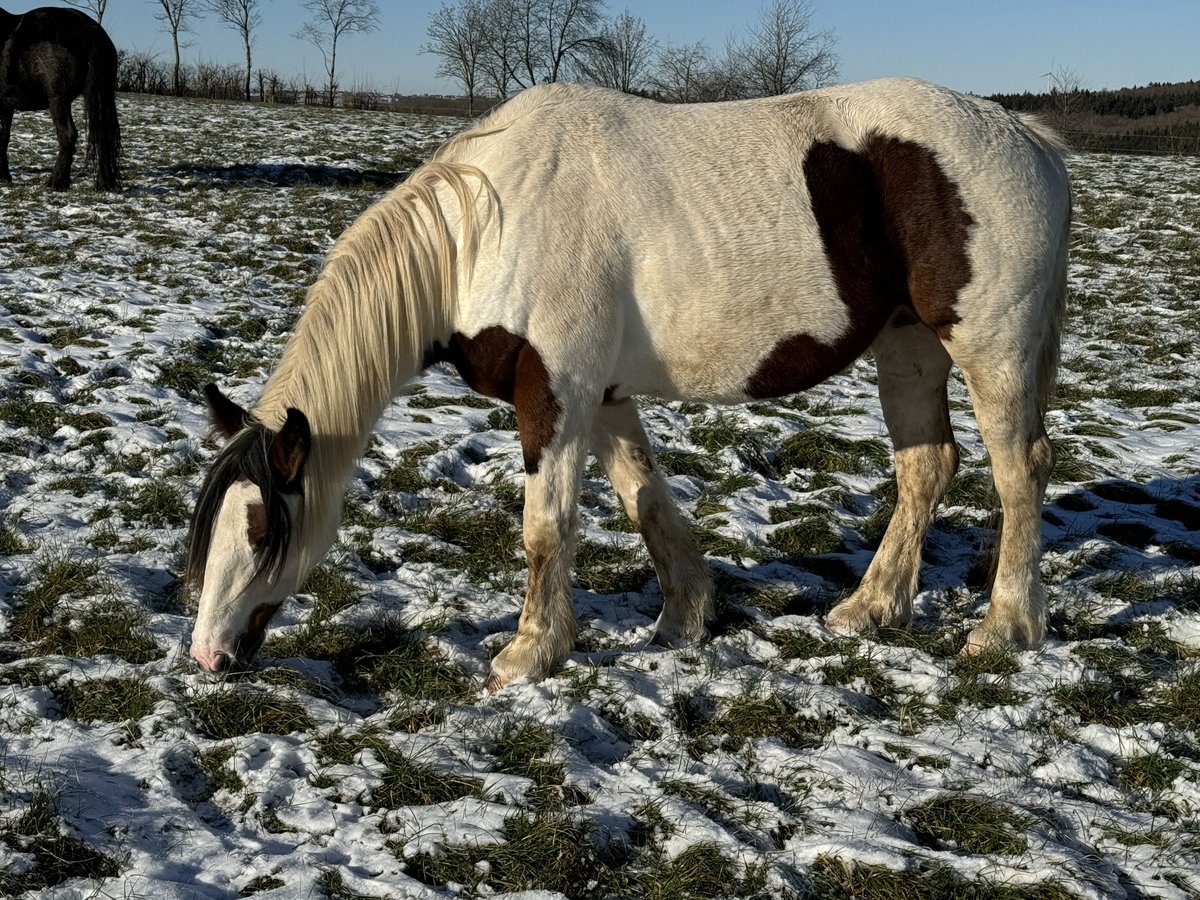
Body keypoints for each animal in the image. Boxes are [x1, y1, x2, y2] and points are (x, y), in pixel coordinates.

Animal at [0, 5, 120, 190]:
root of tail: (86, 26)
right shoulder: (6, 106)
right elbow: (3, 138)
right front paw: (4, 177)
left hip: (58, 100)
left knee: (68, 135)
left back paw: (56, 182)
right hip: (101, 97)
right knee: (102, 138)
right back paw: (104, 183)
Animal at [184, 81, 1070, 696]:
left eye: (260, 531)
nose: (206, 653)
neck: (487, 227)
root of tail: (1027, 136)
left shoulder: (555, 395)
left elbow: (547, 530)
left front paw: (527, 654)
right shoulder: (601, 397)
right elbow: (645, 501)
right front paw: (684, 618)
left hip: (990, 350)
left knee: (1019, 472)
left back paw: (1004, 628)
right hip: (907, 344)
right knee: (926, 467)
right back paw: (869, 608)